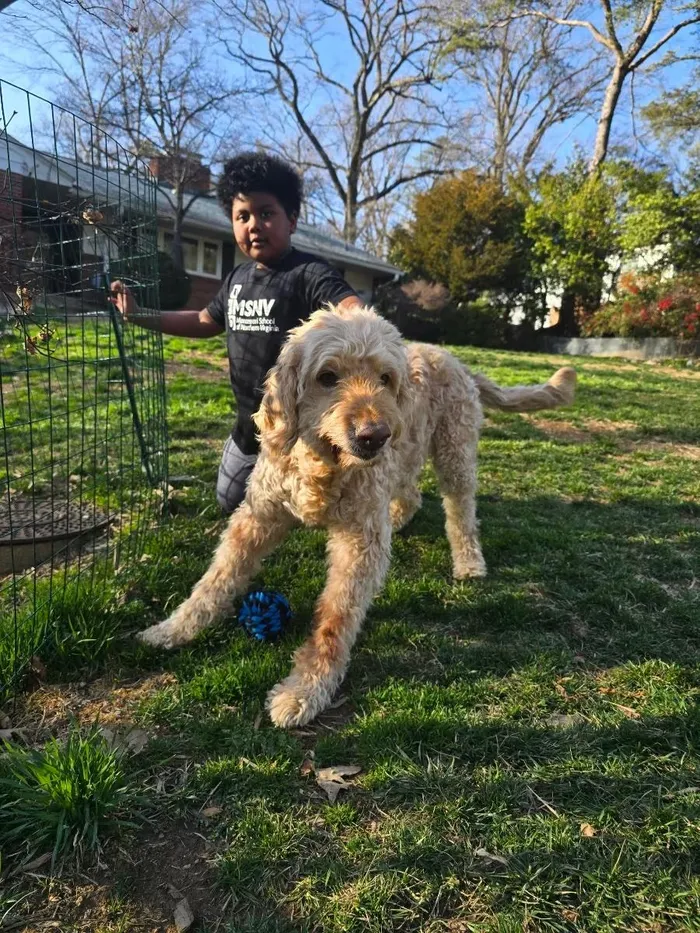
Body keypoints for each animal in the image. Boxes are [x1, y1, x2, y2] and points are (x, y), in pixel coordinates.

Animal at [138, 305, 576, 727]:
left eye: (385, 378)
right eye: (327, 376)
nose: (374, 436)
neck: (322, 464)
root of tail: (454, 358)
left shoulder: (359, 541)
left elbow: (336, 618)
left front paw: (306, 689)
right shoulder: (258, 515)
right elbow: (216, 578)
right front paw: (173, 628)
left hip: (454, 452)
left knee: (461, 510)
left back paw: (468, 560)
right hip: (408, 453)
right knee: (411, 492)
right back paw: (399, 520)